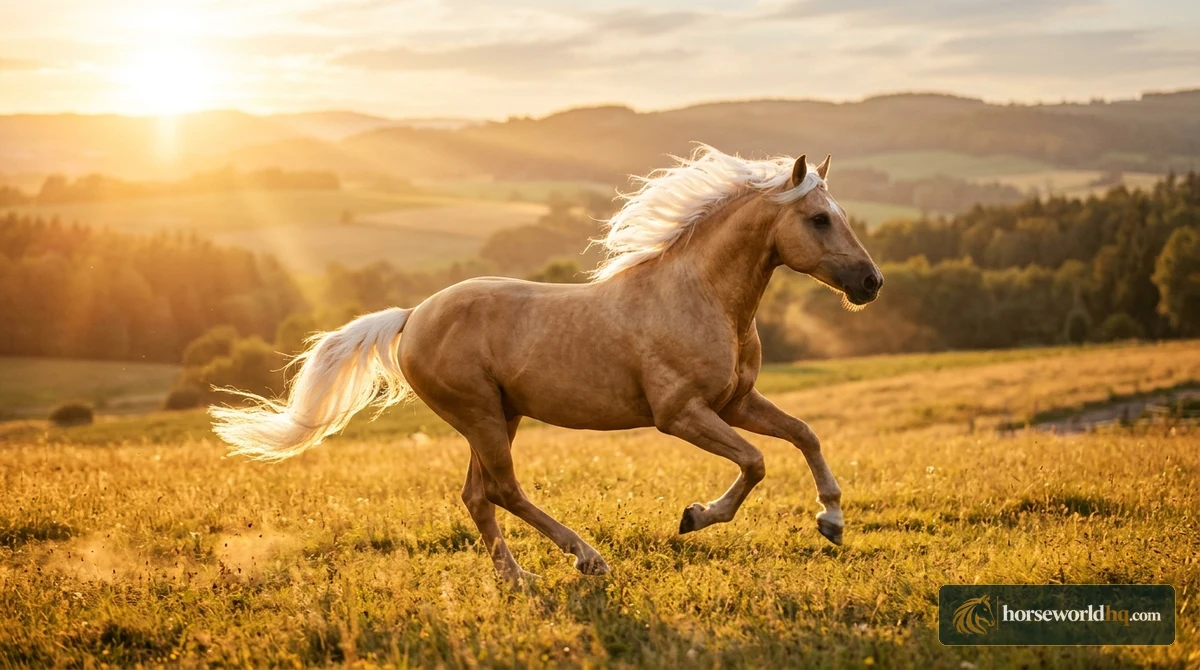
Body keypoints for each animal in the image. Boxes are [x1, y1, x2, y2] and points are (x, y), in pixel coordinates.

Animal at [211, 145, 883, 585]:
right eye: (819, 218)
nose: (871, 283)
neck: (702, 297)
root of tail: (411, 316)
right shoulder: (680, 414)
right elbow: (756, 461)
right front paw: (696, 517)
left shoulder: (735, 402)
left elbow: (804, 434)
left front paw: (831, 520)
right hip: (481, 415)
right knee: (502, 489)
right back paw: (587, 558)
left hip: (497, 417)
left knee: (477, 495)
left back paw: (519, 578)